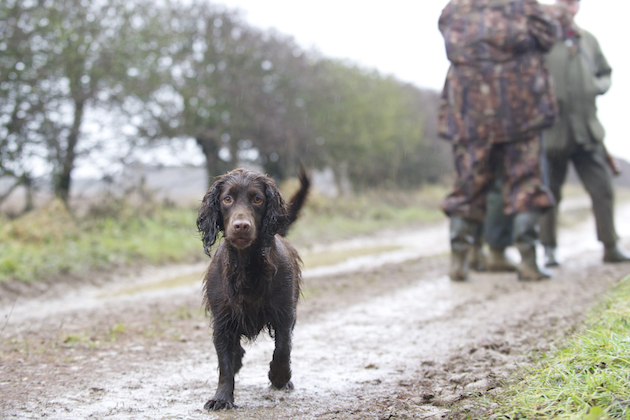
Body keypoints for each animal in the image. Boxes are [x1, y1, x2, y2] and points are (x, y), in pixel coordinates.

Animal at [195, 167, 308, 410]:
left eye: (257, 199)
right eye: (227, 199)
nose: (241, 226)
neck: (247, 267)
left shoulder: (285, 313)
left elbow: (283, 348)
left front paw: (279, 377)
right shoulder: (222, 320)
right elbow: (225, 363)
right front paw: (222, 398)